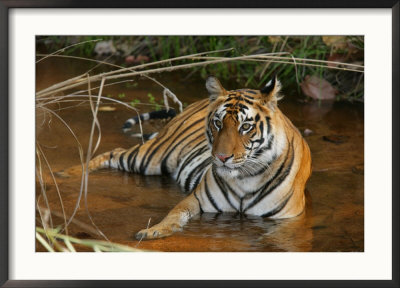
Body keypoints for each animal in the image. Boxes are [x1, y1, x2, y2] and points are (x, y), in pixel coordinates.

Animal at [68, 76, 312, 238]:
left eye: (245, 126)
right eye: (218, 123)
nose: (222, 157)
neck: (246, 178)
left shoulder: (287, 221)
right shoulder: (196, 198)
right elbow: (175, 214)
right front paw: (153, 231)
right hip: (150, 158)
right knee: (114, 152)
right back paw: (66, 173)